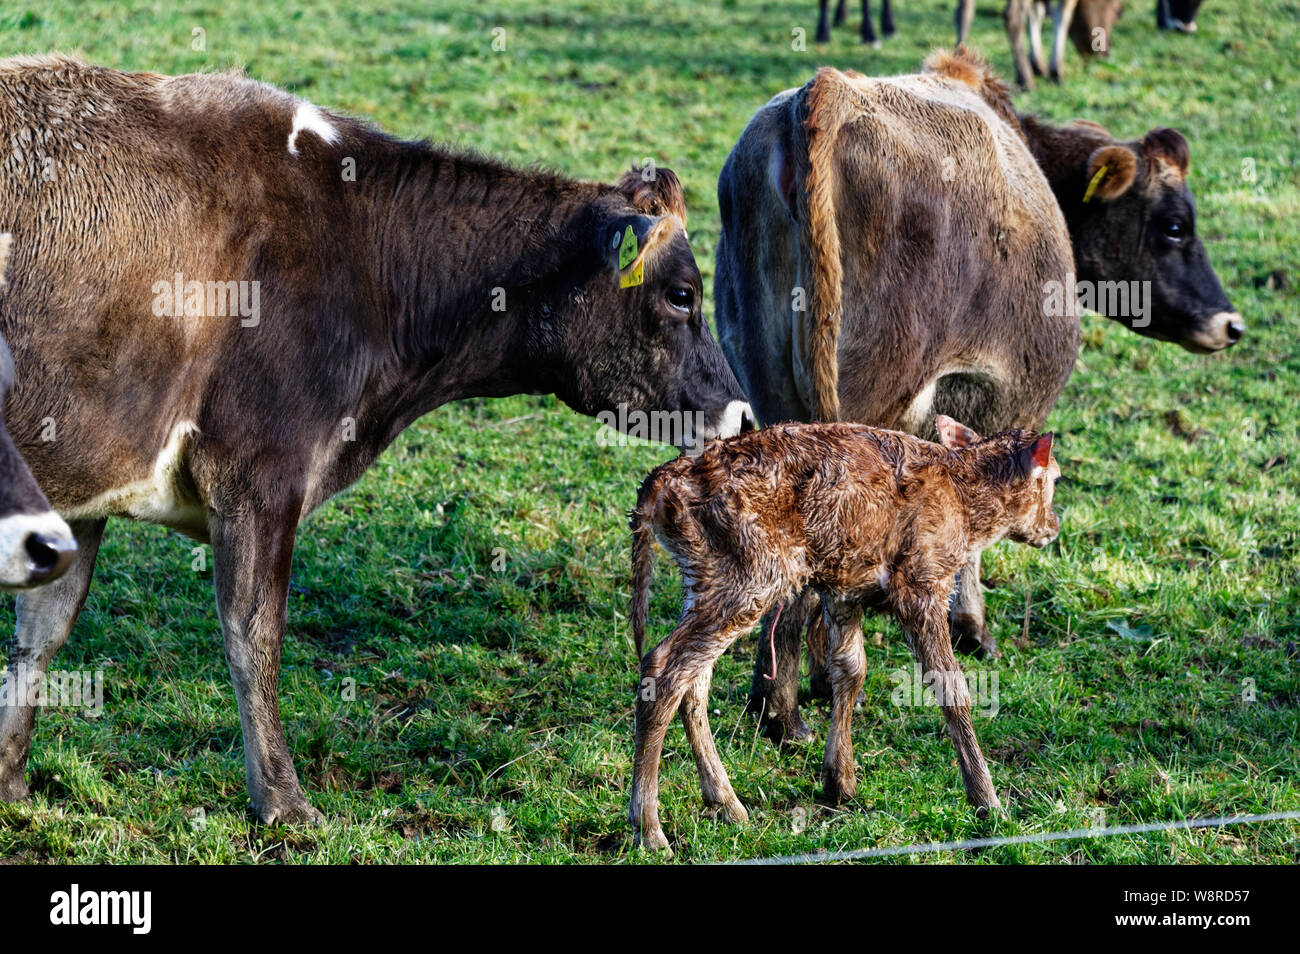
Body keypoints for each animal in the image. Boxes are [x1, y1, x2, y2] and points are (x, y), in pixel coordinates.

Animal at [0, 55, 754, 826]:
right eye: (684, 294)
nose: (742, 414)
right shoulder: (258, 471)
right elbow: (254, 635)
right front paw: (284, 802)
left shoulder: (88, 481)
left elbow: (43, 631)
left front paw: (10, 780)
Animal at [624, 418, 1060, 852]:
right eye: (1054, 478)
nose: (1053, 527)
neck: (965, 501)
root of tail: (663, 483)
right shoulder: (922, 584)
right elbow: (950, 687)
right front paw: (987, 800)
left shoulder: (845, 591)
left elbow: (851, 670)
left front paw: (840, 782)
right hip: (751, 577)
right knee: (664, 669)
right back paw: (650, 828)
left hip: (704, 579)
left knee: (694, 683)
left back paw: (727, 804)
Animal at [717, 48, 1242, 743]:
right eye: (1175, 225)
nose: (1231, 323)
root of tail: (824, 92)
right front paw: (972, 629)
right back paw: (798, 704)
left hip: (772, 395)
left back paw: (772, 703)